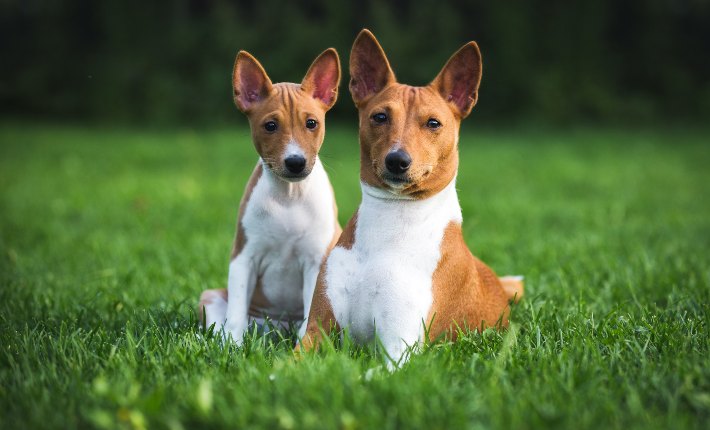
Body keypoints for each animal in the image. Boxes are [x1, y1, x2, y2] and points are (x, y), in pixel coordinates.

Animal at [199, 47, 344, 342]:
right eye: (270, 126)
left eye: (311, 123)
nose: (295, 162)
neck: (289, 196)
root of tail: (278, 328)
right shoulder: (244, 258)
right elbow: (235, 316)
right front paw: (233, 346)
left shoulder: (315, 261)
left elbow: (311, 314)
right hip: (212, 297)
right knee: (220, 322)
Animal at [298, 30, 524, 366]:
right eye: (379, 117)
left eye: (433, 123)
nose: (397, 160)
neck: (391, 221)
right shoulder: (316, 332)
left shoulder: (398, 350)